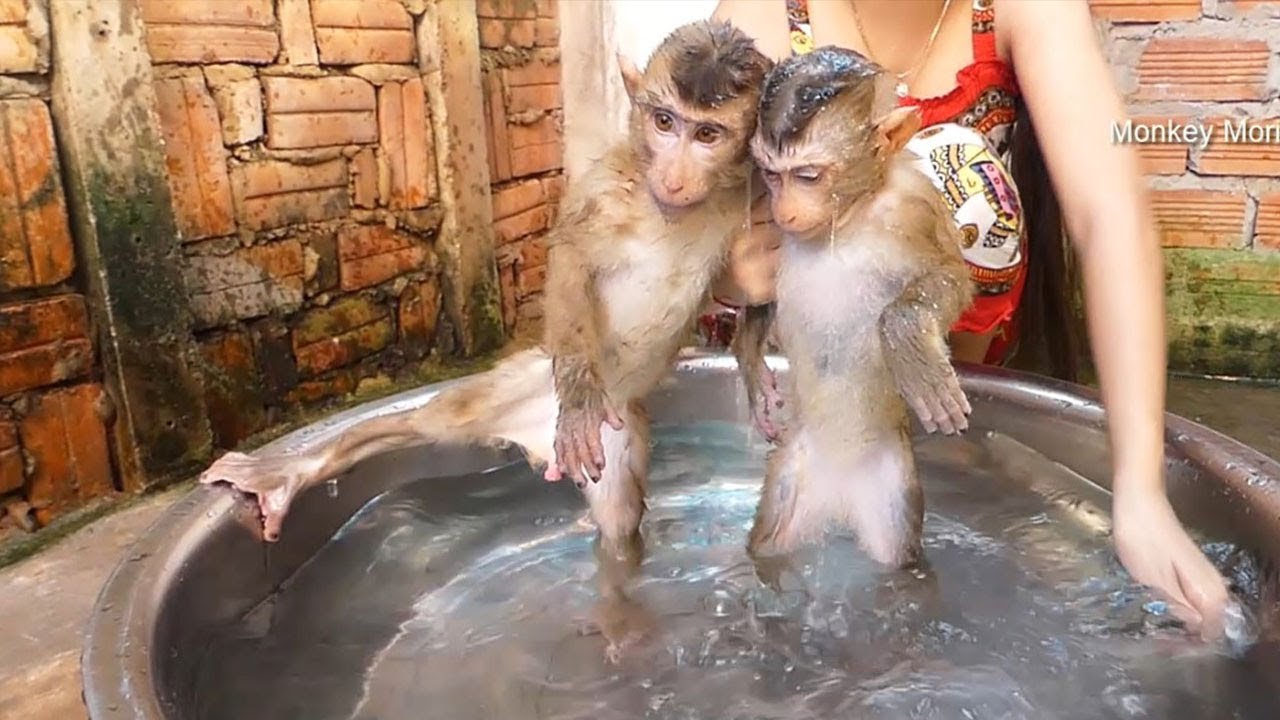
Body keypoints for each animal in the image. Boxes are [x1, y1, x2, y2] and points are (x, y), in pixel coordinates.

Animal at [199, 20, 773, 573]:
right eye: (663, 123)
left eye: (706, 133)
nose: (673, 176)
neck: (669, 209)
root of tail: (540, 440)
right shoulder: (608, 190)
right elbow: (573, 258)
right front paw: (581, 392)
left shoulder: (755, 193)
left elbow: (761, 281)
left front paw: (750, 362)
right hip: (525, 384)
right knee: (431, 421)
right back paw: (291, 472)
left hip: (614, 440)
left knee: (619, 523)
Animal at [732, 46, 975, 571]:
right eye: (771, 174)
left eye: (808, 176)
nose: (786, 210)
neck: (847, 217)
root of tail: (838, 494)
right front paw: (751, 366)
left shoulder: (914, 207)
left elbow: (950, 275)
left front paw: (908, 337)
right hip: (794, 473)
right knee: (769, 545)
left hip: (890, 487)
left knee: (899, 559)